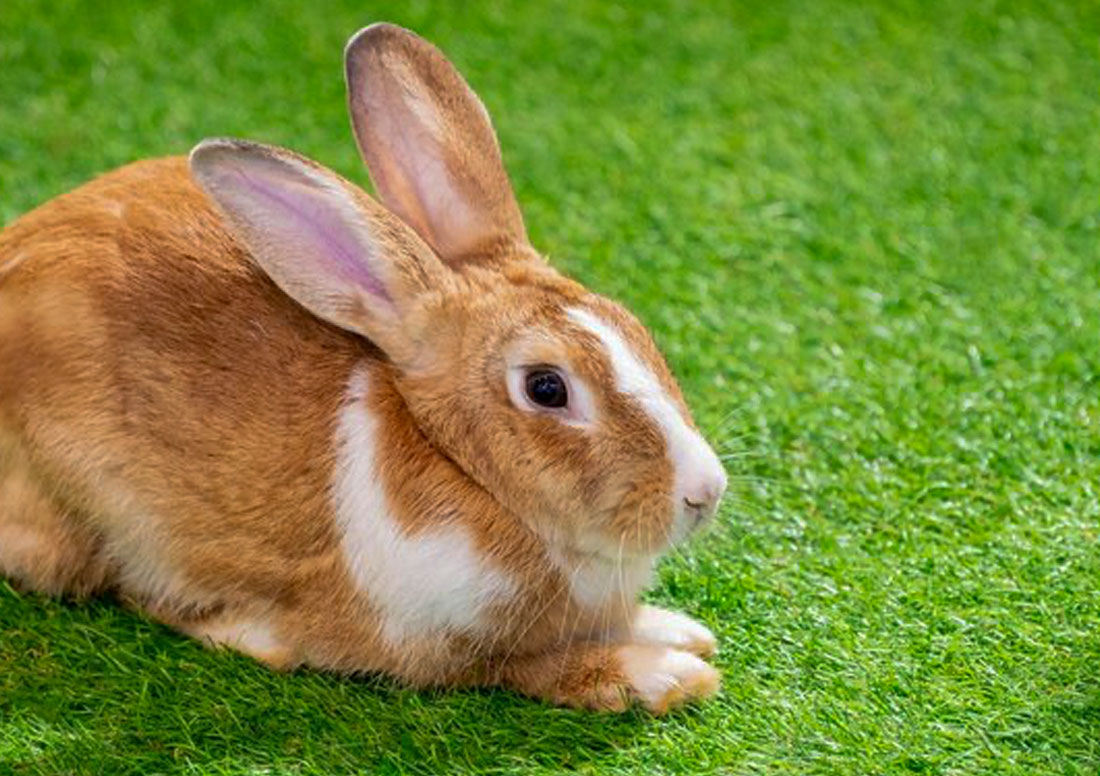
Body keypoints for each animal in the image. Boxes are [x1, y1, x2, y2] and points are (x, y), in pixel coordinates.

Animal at [0, 21, 730, 713]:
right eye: (546, 387)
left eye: (633, 325)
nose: (704, 493)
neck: (462, 468)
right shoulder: (435, 646)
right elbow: (525, 666)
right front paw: (667, 674)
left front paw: (678, 629)